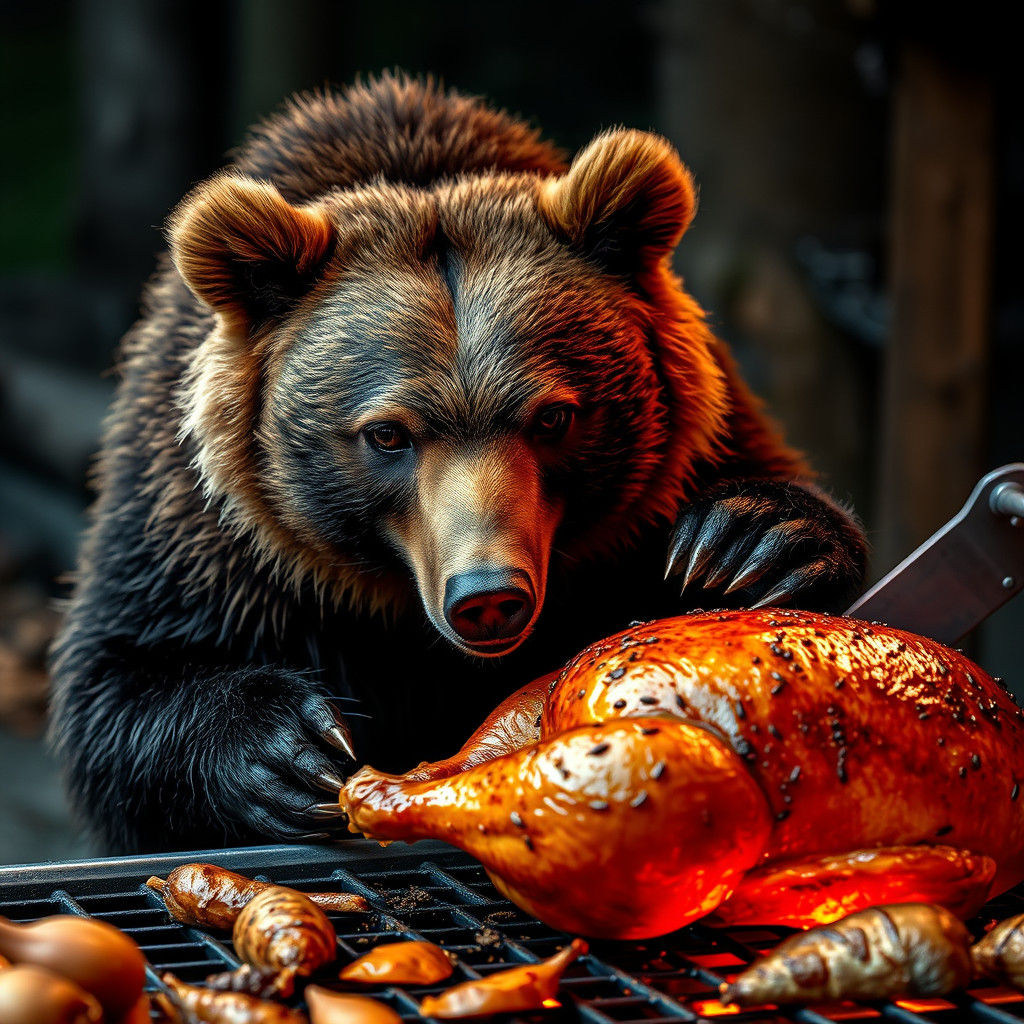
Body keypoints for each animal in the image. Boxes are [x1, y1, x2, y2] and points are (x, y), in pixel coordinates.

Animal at [49, 73, 866, 853]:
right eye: (387, 434)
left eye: (553, 416)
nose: (488, 595)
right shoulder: (200, 536)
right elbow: (118, 679)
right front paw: (290, 752)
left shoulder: (689, 453)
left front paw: (747, 545)